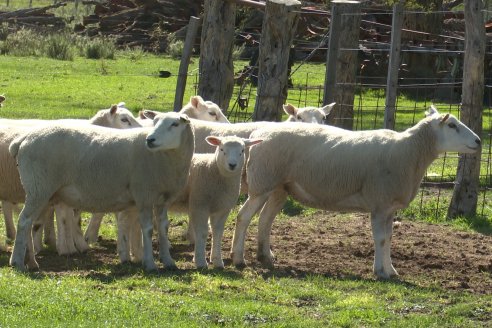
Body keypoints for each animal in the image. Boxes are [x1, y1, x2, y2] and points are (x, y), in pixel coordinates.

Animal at [9, 111, 194, 270]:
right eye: (155, 122)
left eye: (175, 124)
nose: (150, 140)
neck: (164, 159)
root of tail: (24, 139)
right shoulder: (144, 195)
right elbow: (147, 230)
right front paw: (150, 264)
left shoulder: (163, 199)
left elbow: (163, 228)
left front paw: (168, 261)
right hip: (38, 187)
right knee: (24, 221)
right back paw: (17, 262)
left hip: (40, 191)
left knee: (29, 222)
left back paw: (30, 261)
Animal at [230, 106, 480, 278]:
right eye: (452, 125)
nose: (478, 141)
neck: (409, 153)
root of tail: (258, 134)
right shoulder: (379, 203)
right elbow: (380, 239)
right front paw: (380, 272)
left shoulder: (389, 207)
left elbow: (389, 238)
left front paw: (391, 270)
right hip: (262, 183)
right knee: (243, 217)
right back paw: (238, 259)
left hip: (279, 187)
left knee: (264, 220)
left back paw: (265, 257)